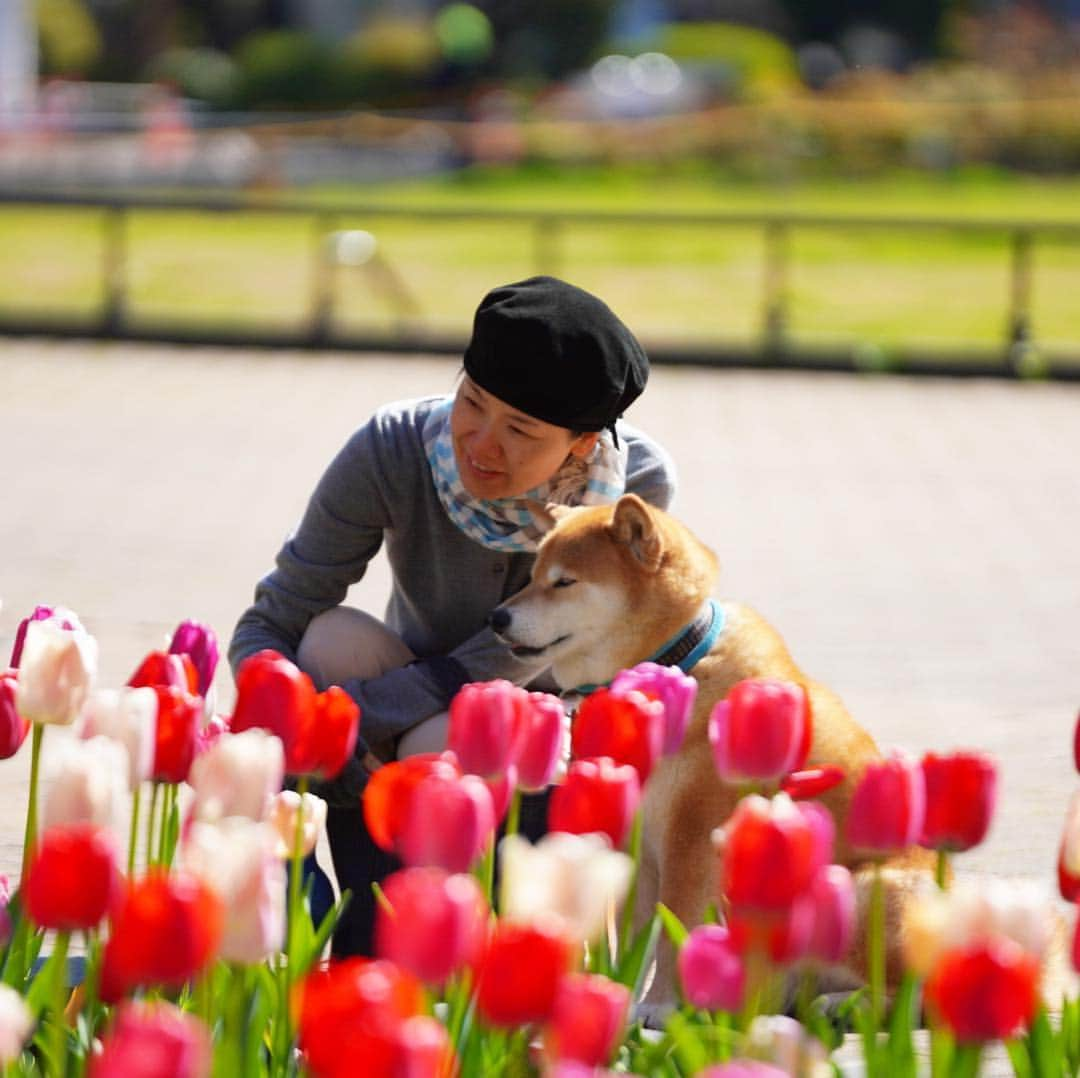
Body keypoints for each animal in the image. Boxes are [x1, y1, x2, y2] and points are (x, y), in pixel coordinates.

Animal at [486, 496, 933, 1019]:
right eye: (533, 576)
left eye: (564, 582)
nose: (496, 618)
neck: (670, 665)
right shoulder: (640, 840)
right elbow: (635, 936)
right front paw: (614, 991)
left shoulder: (692, 837)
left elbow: (672, 928)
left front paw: (658, 1008)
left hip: (857, 889)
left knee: (918, 993)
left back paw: (846, 1004)